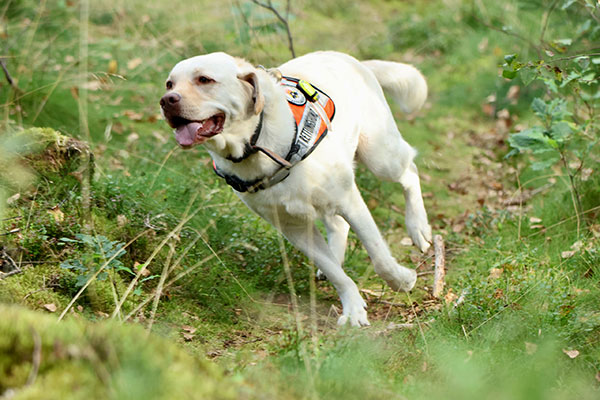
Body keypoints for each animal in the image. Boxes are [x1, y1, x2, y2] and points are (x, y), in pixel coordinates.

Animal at [161, 50, 432, 324]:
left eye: (205, 80)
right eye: (170, 84)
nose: (166, 101)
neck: (255, 146)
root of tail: (353, 60)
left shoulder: (349, 201)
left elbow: (379, 256)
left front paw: (402, 280)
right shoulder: (293, 227)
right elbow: (336, 273)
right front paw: (353, 308)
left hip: (380, 156)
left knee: (410, 171)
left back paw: (418, 228)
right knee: (338, 226)